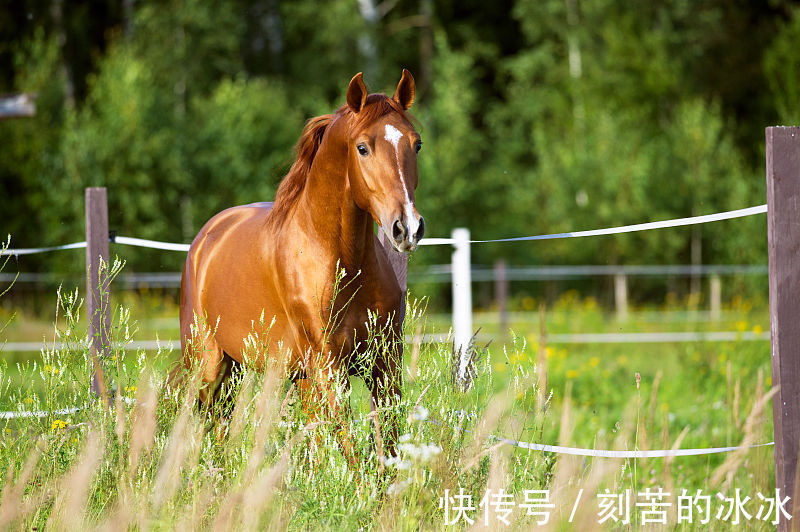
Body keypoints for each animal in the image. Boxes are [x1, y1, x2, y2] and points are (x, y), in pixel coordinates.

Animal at [180, 69, 424, 454]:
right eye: (363, 147)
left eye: (416, 144)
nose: (407, 228)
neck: (342, 264)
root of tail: (206, 237)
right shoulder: (328, 368)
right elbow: (350, 448)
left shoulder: (384, 364)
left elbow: (387, 444)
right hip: (209, 365)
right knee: (210, 424)